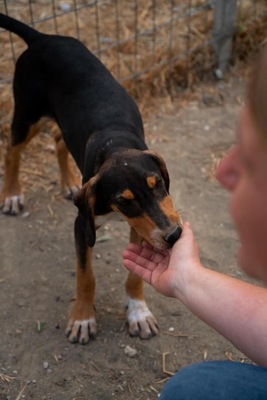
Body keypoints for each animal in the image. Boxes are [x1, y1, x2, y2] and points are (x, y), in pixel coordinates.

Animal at [0, 12, 183, 344]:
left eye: (159, 184)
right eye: (124, 202)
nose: (174, 236)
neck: (116, 143)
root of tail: (42, 37)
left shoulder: (144, 227)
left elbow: (135, 275)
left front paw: (138, 312)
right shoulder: (83, 224)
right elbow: (86, 275)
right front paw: (83, 318)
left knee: (58, 140)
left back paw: (69, 182)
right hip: (27, 115)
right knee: (11, 150)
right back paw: (11, 195)